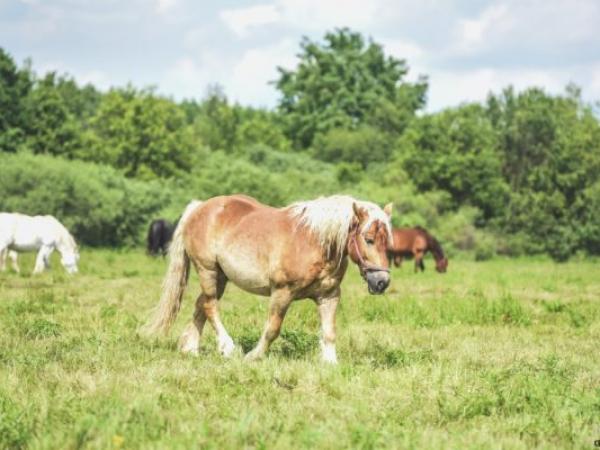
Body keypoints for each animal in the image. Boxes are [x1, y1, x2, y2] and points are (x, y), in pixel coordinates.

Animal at [142, 195, 392, 364]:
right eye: (368, 239)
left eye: (387, 240)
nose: (382, 282)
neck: (314, 242)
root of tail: (199, 207)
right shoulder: (282, 292)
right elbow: (273, 329)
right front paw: (253, 356)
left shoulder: (329, 296)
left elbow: (329, 332)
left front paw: (331, 364)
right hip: (208, 271)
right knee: (210, 305)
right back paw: (227, 347)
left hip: (221, 277)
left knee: (200, 305)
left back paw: (191, 348)